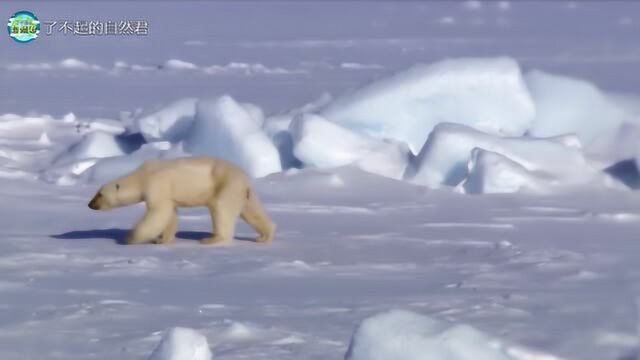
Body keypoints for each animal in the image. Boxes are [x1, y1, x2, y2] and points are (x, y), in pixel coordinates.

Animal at [88, 157, 276, 245]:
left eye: (99, 194)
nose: (90, 205)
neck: (142, 176)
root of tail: (244, 179)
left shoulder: (156, 185)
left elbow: (158, 212)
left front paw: (131, 237)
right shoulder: (167, 195)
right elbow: (170, 214)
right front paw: (163, 239)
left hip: (226, 185)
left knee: (221, 209)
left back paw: (212, 239)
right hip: (243, 193)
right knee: (252, 211)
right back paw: (264, 236)